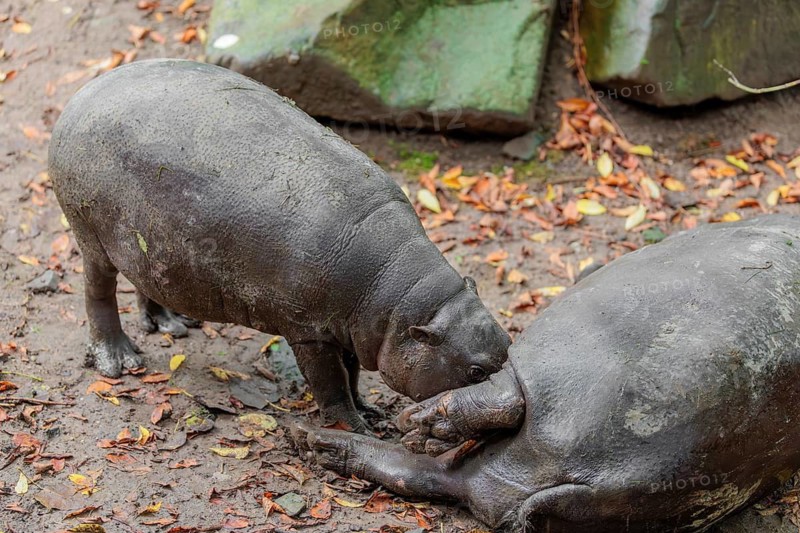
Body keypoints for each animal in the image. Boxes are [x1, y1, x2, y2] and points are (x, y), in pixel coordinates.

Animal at [48, 59, 510, 433]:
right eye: (474, 371)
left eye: (507, 343)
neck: (400, 298)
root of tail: (82, 93)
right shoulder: (308, 332)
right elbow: (331, 382)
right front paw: (356, 427)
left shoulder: (351, 326)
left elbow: (353, 373)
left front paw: (370, 411)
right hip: (89, 234)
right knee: (98, 293)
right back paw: (120, 361)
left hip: (149, 241)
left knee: (147, 279)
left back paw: (171, 325)